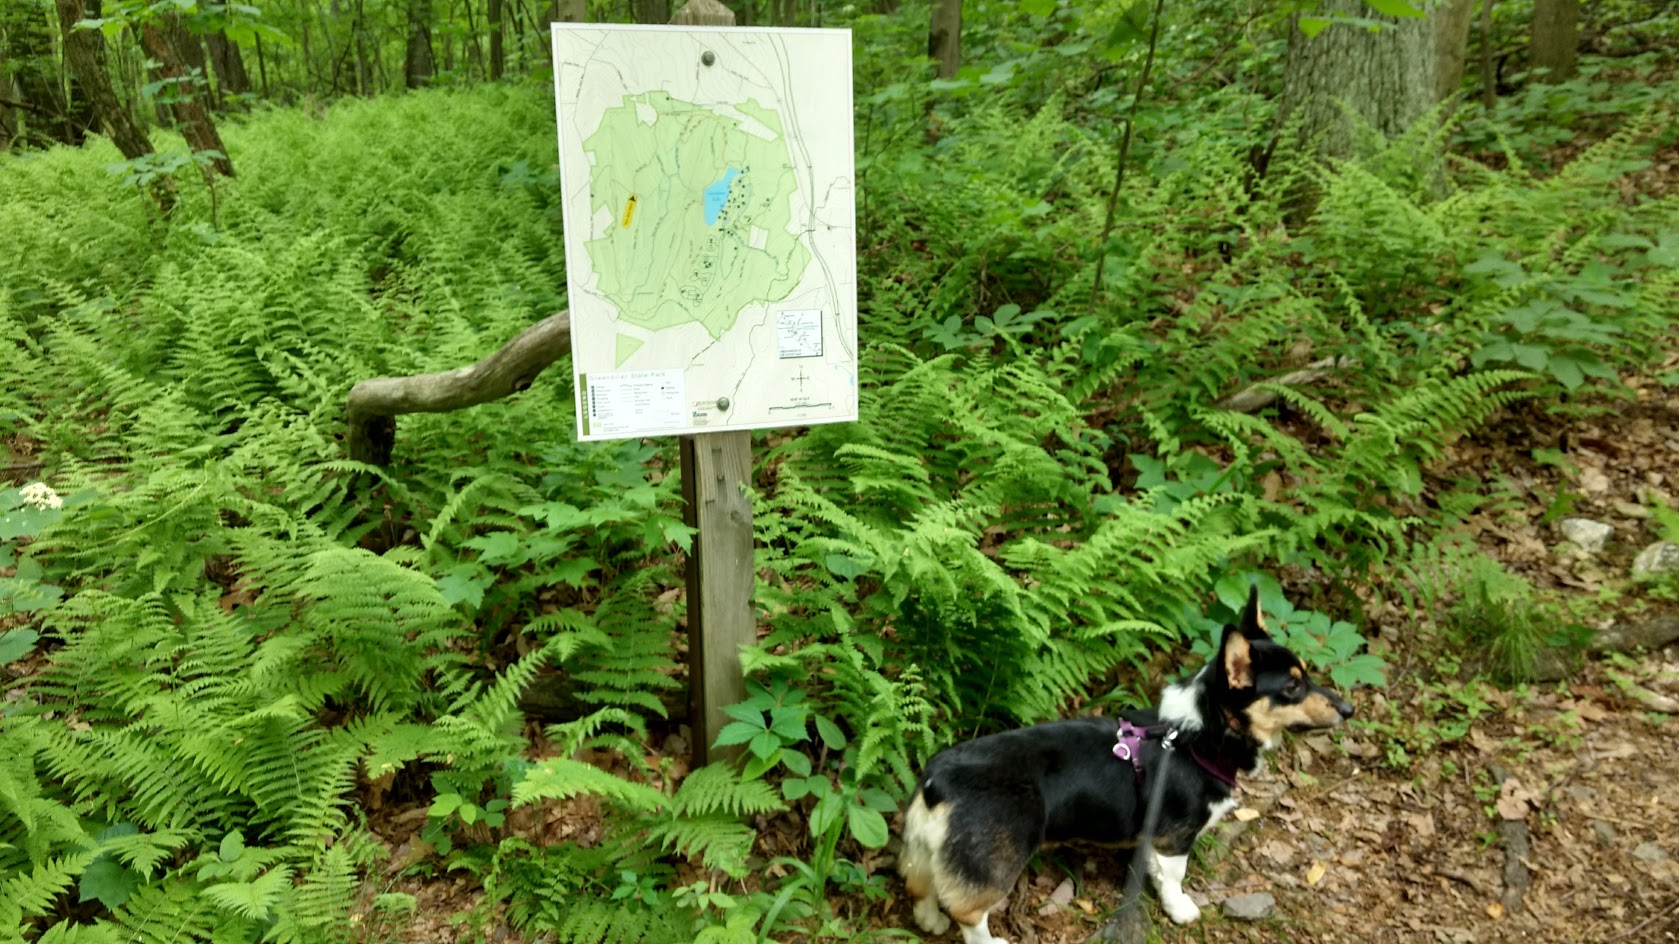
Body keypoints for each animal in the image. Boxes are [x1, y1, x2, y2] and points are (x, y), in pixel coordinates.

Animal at [899, 584, 1356, 933]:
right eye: (1293, 688)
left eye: (1306, 675)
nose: (1349, 709)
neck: (1197, 735)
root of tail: (938, 782)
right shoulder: (1177, 838)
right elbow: (1175, 878)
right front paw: (1181, 909)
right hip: (993, 867)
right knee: (969, 914)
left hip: (923, 850)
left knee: (919, 887)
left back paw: (929, 922)